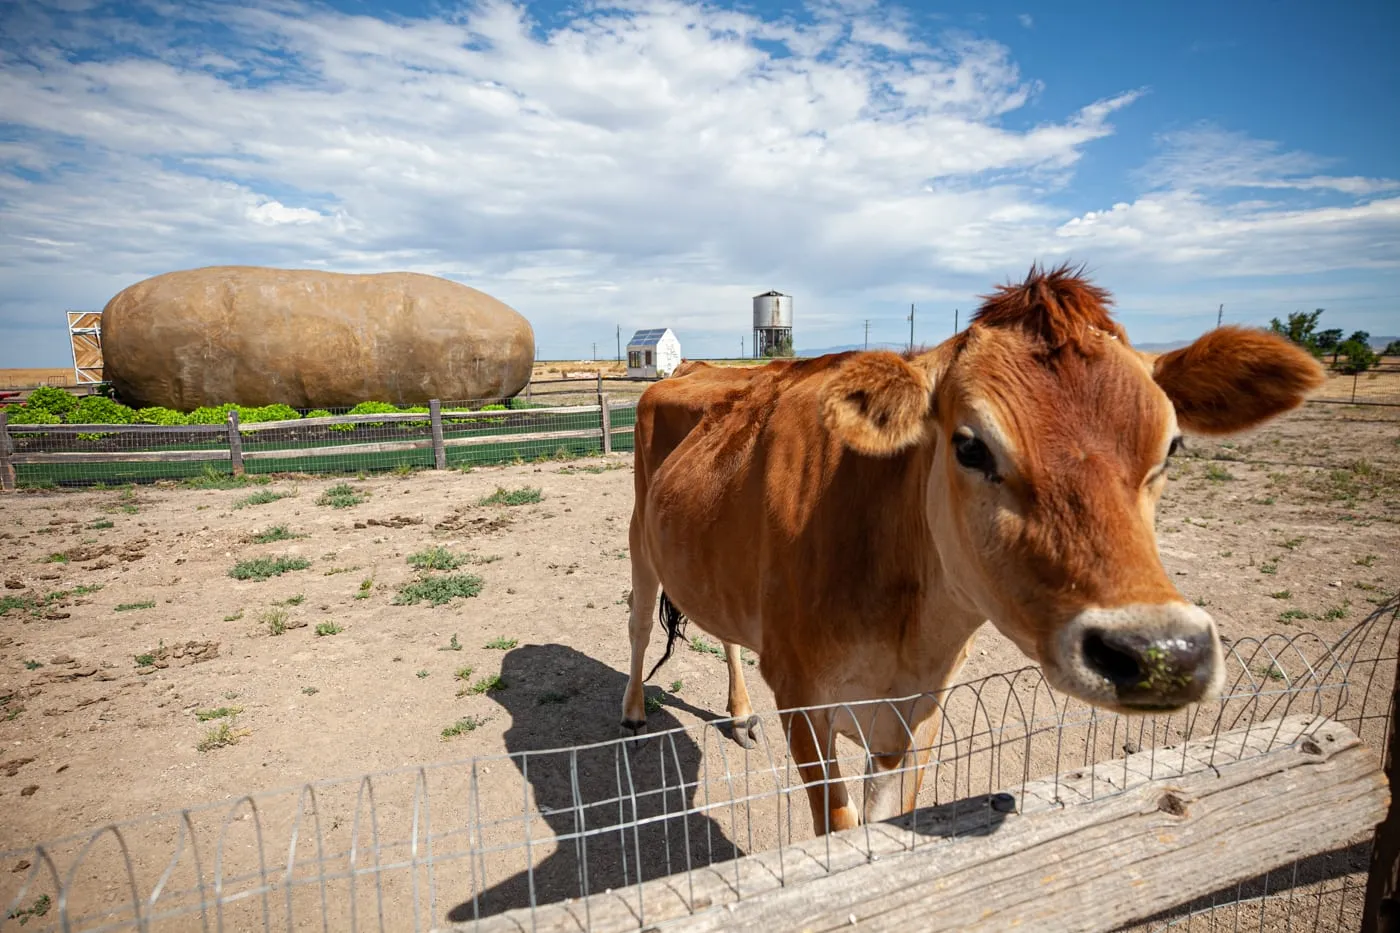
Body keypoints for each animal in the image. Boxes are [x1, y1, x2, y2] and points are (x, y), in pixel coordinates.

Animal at [621, 264, 1321, 829]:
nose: (1162, 654)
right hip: (639, 538)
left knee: (728, 633)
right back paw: (632, 713)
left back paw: (739, 713)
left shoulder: (919, 715)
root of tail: (689, 370)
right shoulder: (802, 699)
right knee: (639, 623)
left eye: (1171, 447)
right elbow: (840, 830)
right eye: (970, 446)